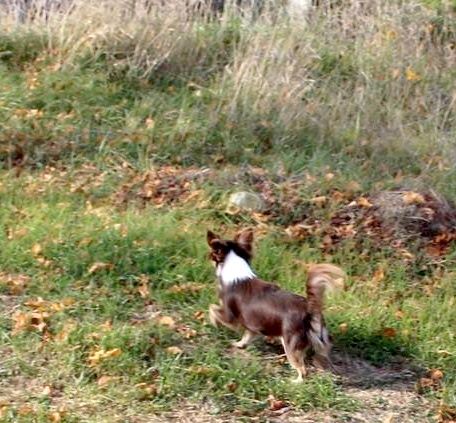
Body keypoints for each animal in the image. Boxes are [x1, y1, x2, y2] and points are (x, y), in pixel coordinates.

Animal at [208, 230, 346, 382]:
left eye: (212, 254)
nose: (207, 258)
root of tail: (310, 309)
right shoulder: (253, 325)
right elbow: (247, 336)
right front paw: (239, 345)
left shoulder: (229, 316)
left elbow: (212, 308)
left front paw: (214, 323)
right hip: (320, 338)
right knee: (322, 353)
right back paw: (321, 366)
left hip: (290, 344)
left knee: (303, 370)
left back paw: (295, 382)